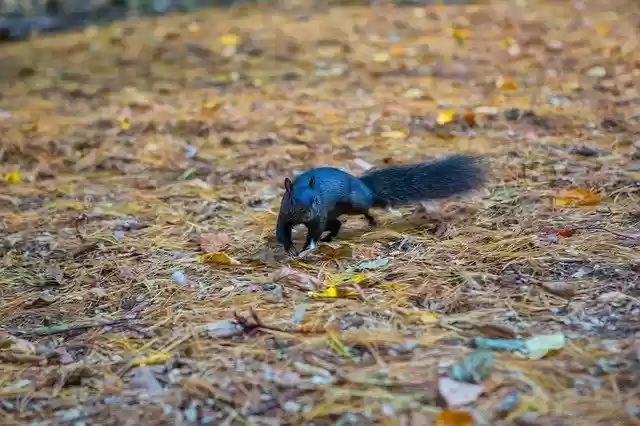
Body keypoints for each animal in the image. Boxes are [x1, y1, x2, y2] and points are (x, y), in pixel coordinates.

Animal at [275, 154, 487, 256]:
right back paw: (330, 237)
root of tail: (363, 185)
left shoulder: (319, 216)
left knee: (366, 207)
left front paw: (306, 247)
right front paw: (290, 248)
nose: (307, 214)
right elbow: (282, 232)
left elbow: (314, 232)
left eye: (317, 200)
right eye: (292, 200)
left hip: (354, 203)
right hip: (334, 213)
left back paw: (372, 220)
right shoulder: (285, 215)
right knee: (337, 223)